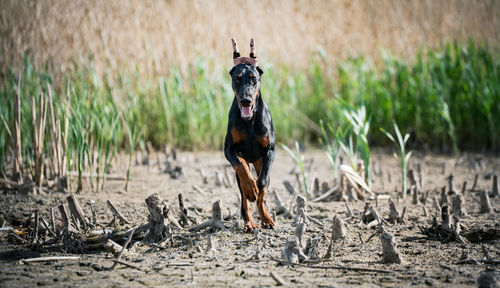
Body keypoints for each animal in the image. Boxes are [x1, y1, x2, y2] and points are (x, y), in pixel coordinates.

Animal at [225, 38, 276, 233]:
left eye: (254, 78)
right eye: (237, 79)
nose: (246, 100)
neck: (250, 121)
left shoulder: (270, 150)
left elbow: (262, 183)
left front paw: (265, 217)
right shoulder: (229, 149)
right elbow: (240, 166)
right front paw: (250, 188)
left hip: (261, 161)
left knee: (264, 185)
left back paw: (266, 218)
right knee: (243, 197)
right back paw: (249, 223)